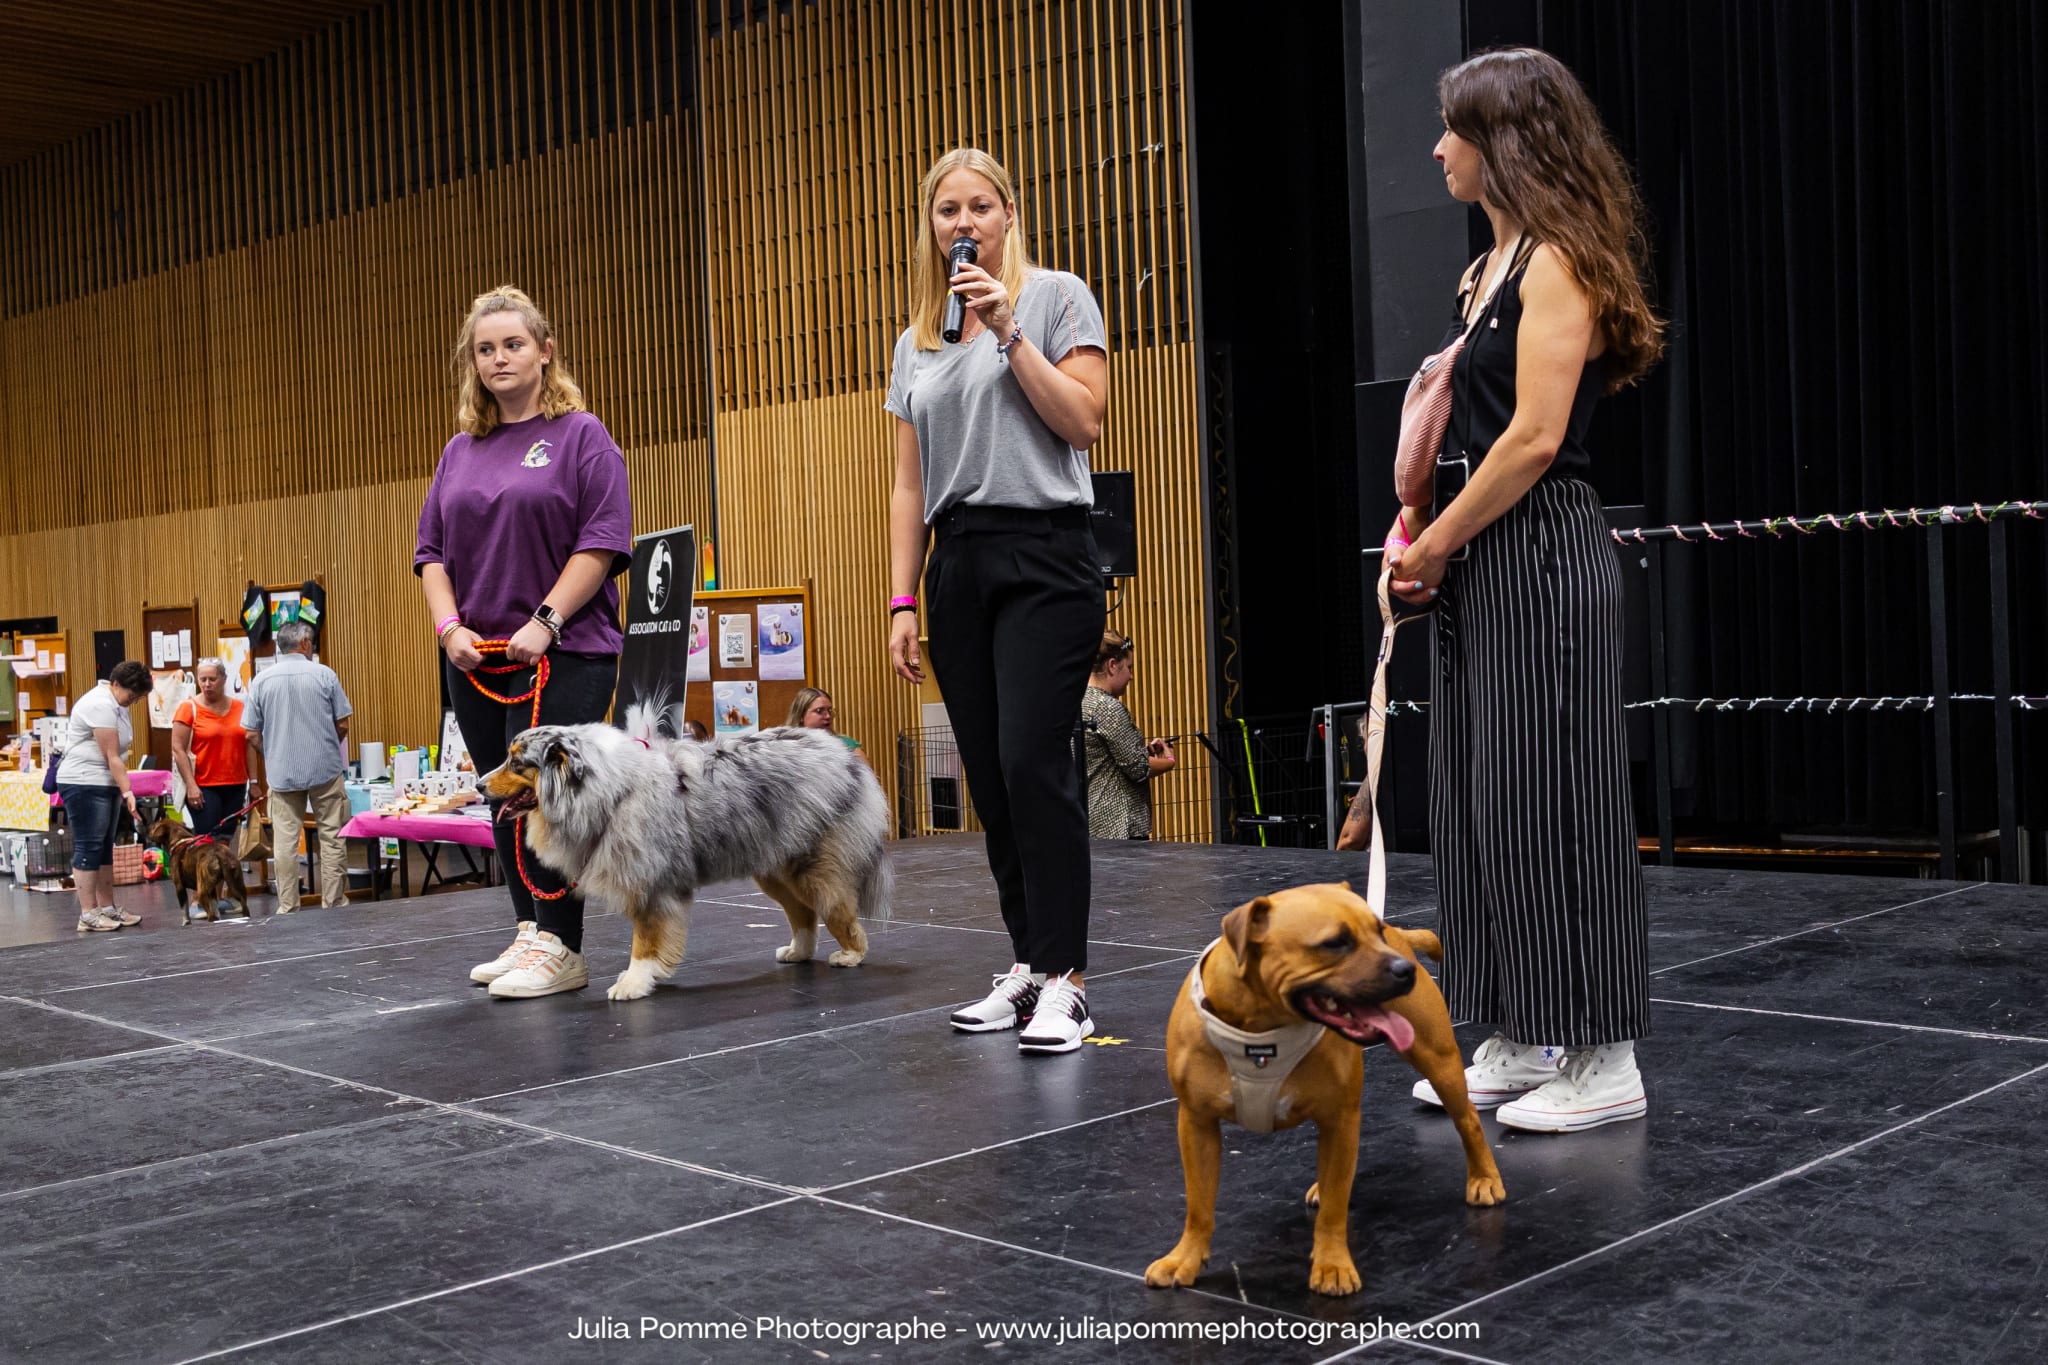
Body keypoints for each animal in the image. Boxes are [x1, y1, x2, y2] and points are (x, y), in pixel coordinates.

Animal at [1146, 879, 1515, 1301]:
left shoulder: (1340, 1120)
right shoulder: (1197, 1125)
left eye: (1376, 932)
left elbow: (1334, 1212)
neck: (1262, 1025)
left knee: (1467, 1119)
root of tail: (1403, 939)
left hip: (1438, 1061)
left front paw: (1332, 1265)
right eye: (1335, 943)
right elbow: (1199, 1204)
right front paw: (1185, 1258)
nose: (1405, 971)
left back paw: (1483, 1178)